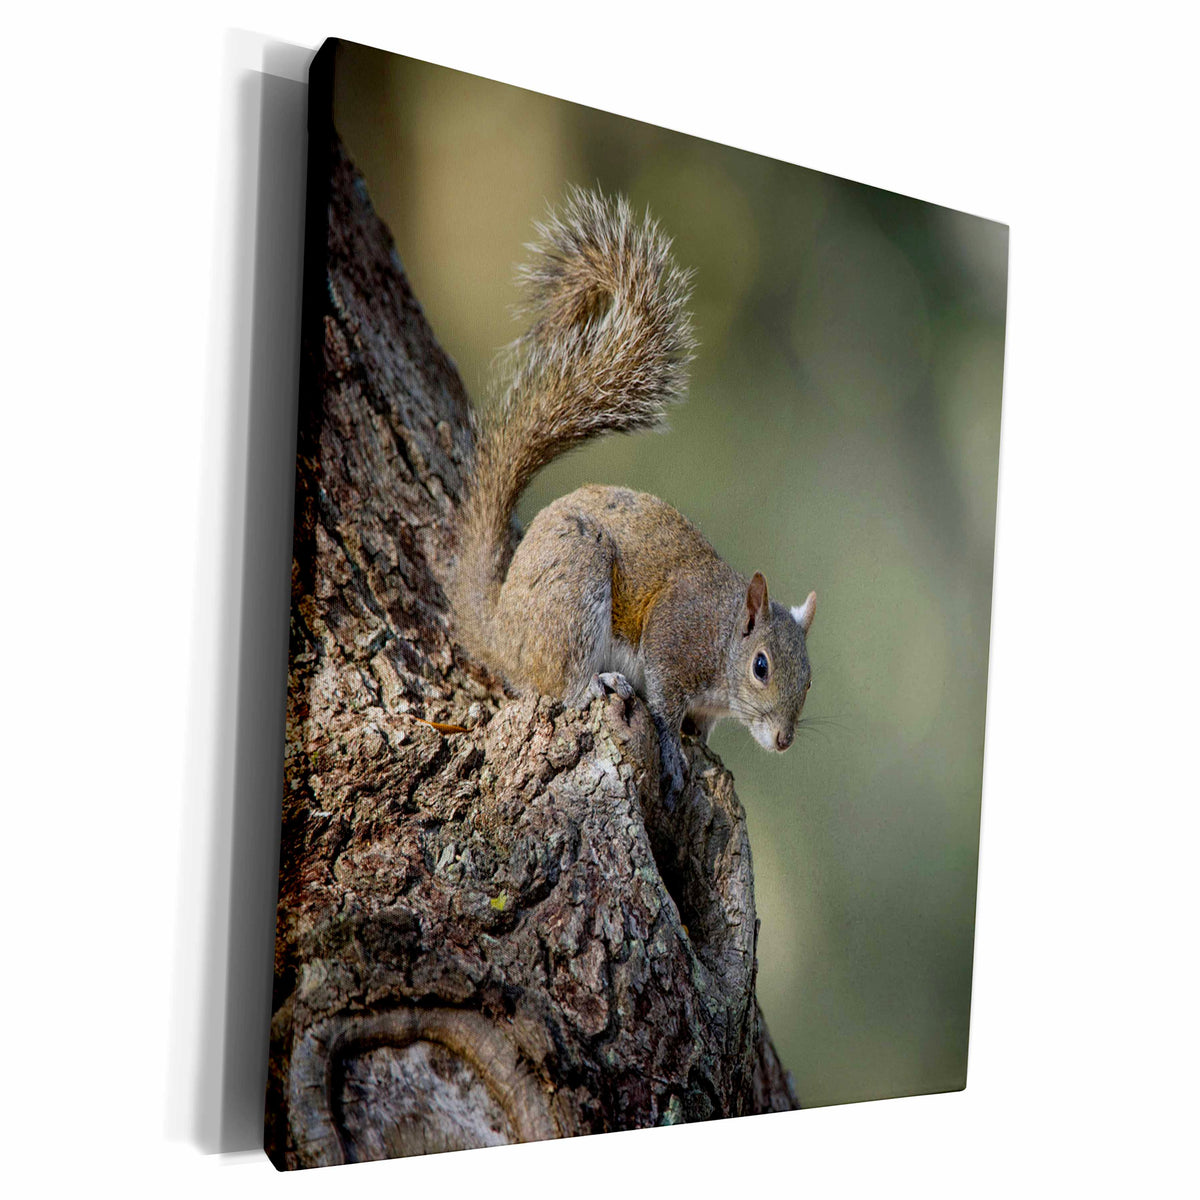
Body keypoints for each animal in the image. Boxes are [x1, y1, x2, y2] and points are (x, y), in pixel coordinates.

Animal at [447, 187, 816, 807]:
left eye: (810, 677)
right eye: (761, 666)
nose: (785, 741)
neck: (723, 635)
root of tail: (500, 631)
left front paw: (705, 748)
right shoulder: (674, 640)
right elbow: (665, 707)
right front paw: (672, 749)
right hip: (575, 587)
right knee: (558, 681)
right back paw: (597, 682)